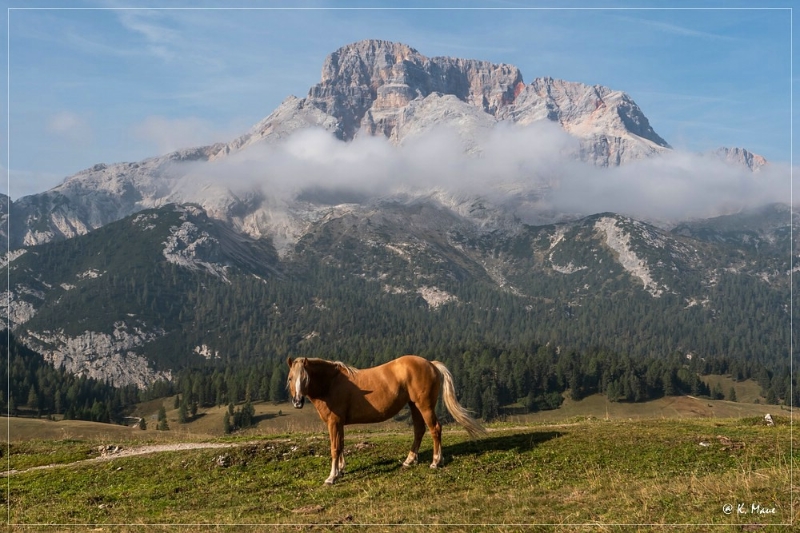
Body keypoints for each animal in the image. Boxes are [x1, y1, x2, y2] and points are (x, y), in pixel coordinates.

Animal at [288, 356, 488, 484]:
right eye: (290, 378)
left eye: (305, 378)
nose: (297, 402)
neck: (332, 383)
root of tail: (430, 364)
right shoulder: (339, 423)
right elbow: (341, 445)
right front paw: (341, 470)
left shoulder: (334, 422)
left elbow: (335, 448)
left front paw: (332, 477)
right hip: (414, 405)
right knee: (419, 430)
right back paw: (409, 460)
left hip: (424, 406)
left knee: (435, 429)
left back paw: (436, 461)